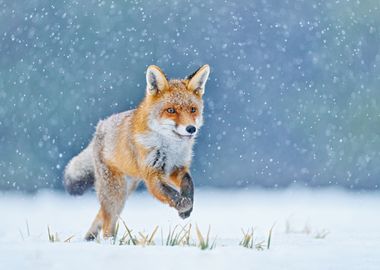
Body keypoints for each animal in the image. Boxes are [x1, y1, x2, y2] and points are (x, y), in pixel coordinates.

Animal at [63, 63, 209, 240]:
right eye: (171, 110)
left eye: (193, 109)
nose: (191, 129)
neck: (169, 148)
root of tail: (100, 127)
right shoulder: (152, 175)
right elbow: (170, 194)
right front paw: (183, 205)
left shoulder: (177, 168)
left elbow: (189, 184)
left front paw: (188, 205)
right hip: (115, 192)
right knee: (107, 223)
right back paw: (109, 242)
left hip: (125, 191)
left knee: (102, 216)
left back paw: (89, 238)